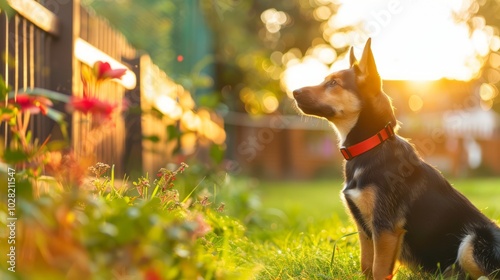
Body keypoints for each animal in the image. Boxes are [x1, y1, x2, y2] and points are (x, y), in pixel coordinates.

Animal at [292, 38, 500, 278]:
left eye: (333, 83)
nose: (293, 92)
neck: (370, 146)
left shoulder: (386, 228)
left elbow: (379, 270)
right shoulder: (364, 228)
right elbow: (367, 265)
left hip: (473, 240)